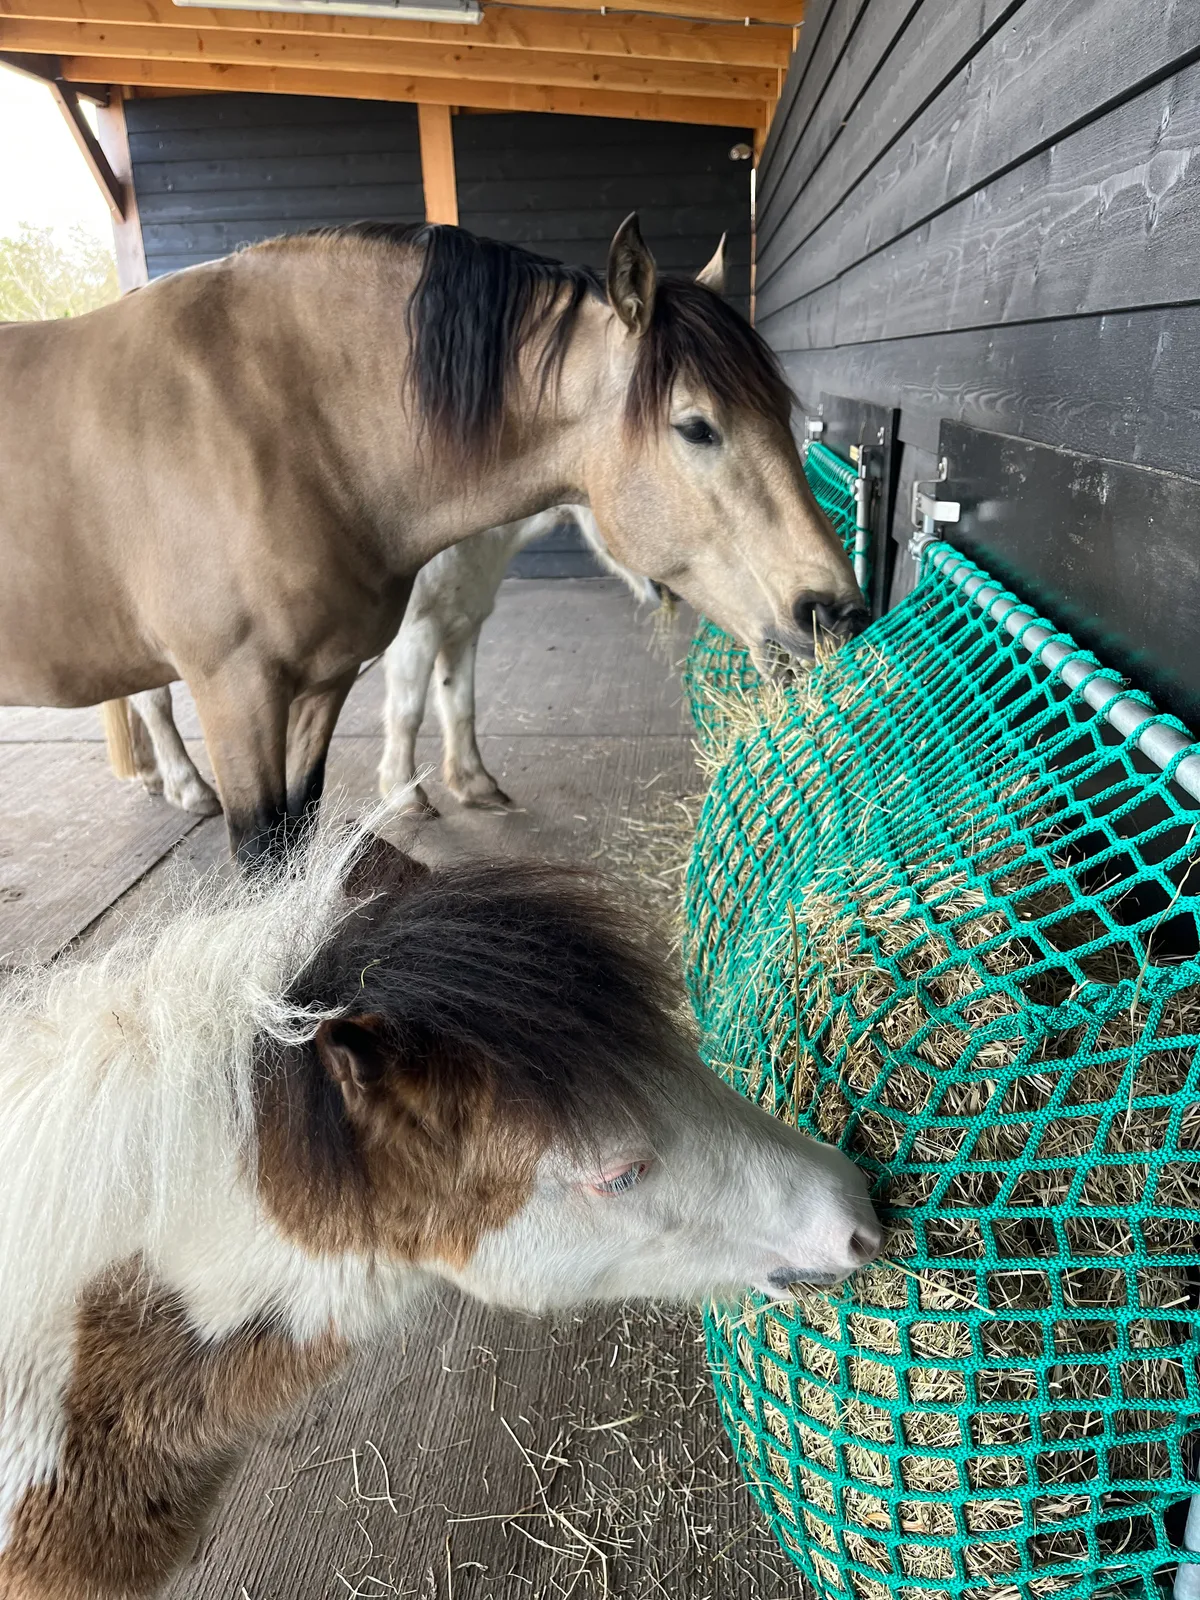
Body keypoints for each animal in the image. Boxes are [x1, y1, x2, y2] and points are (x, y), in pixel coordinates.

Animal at [108, 504, 657, 820]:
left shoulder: (464, 624)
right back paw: (189, 789)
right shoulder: (418, 631)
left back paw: (154, 778)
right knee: (154, 704)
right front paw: (405, 794)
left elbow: (460, 706)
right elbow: (409, 713)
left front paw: (476, 785)